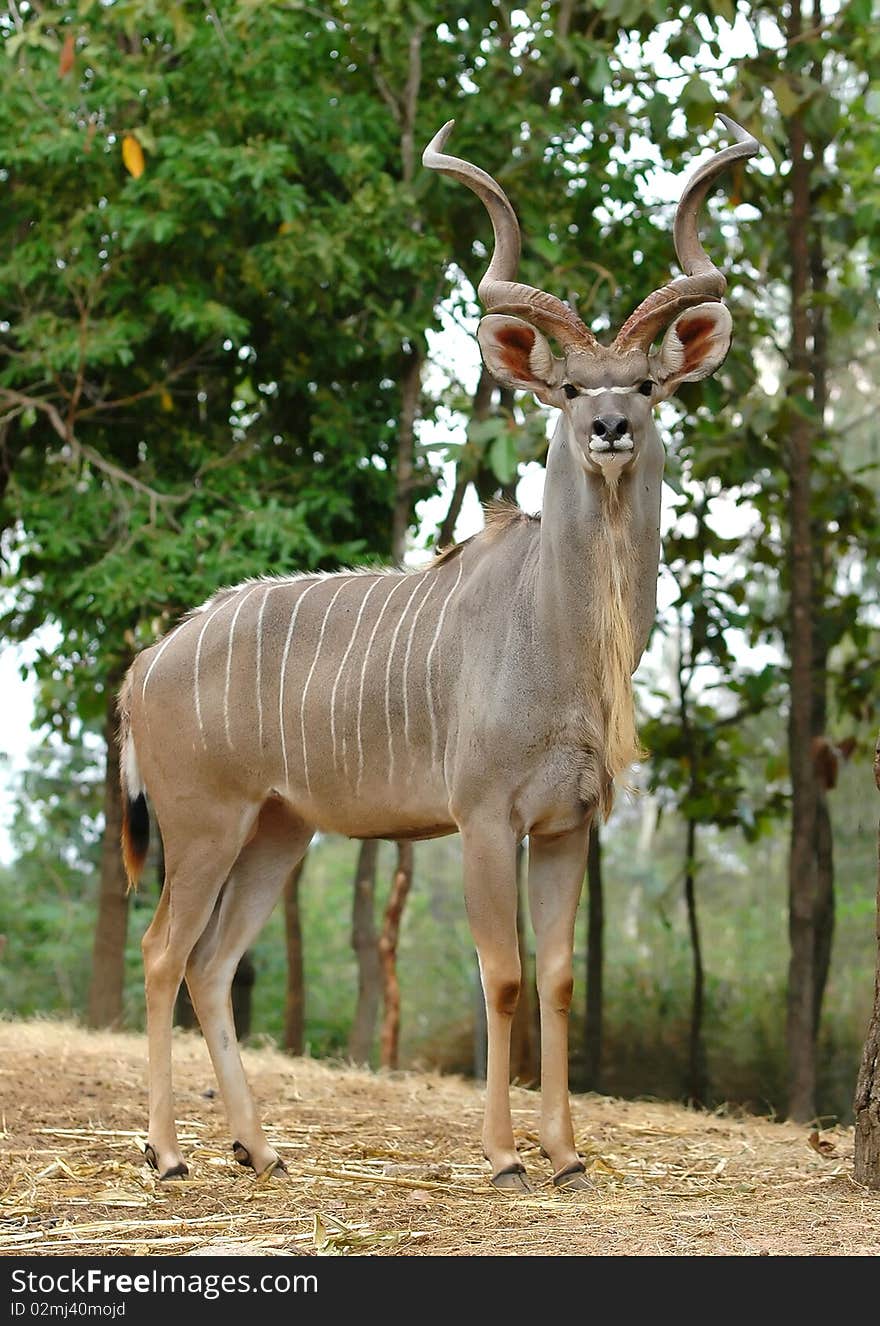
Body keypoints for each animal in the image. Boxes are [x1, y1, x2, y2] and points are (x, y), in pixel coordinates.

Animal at [120, 114, 758, 1193]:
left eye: (644, 383)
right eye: (569, 387)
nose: (609, 427)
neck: (561, 639)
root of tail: (146, 661)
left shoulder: (568, 827)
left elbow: (557, 977)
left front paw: (566, 1155)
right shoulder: (486, 819)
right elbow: (501, 977)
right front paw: (502, 1157)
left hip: (279, 832)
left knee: (212, 962)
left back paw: (259, 1148)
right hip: (203, 825)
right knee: (166, 951)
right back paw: (168, 1154)